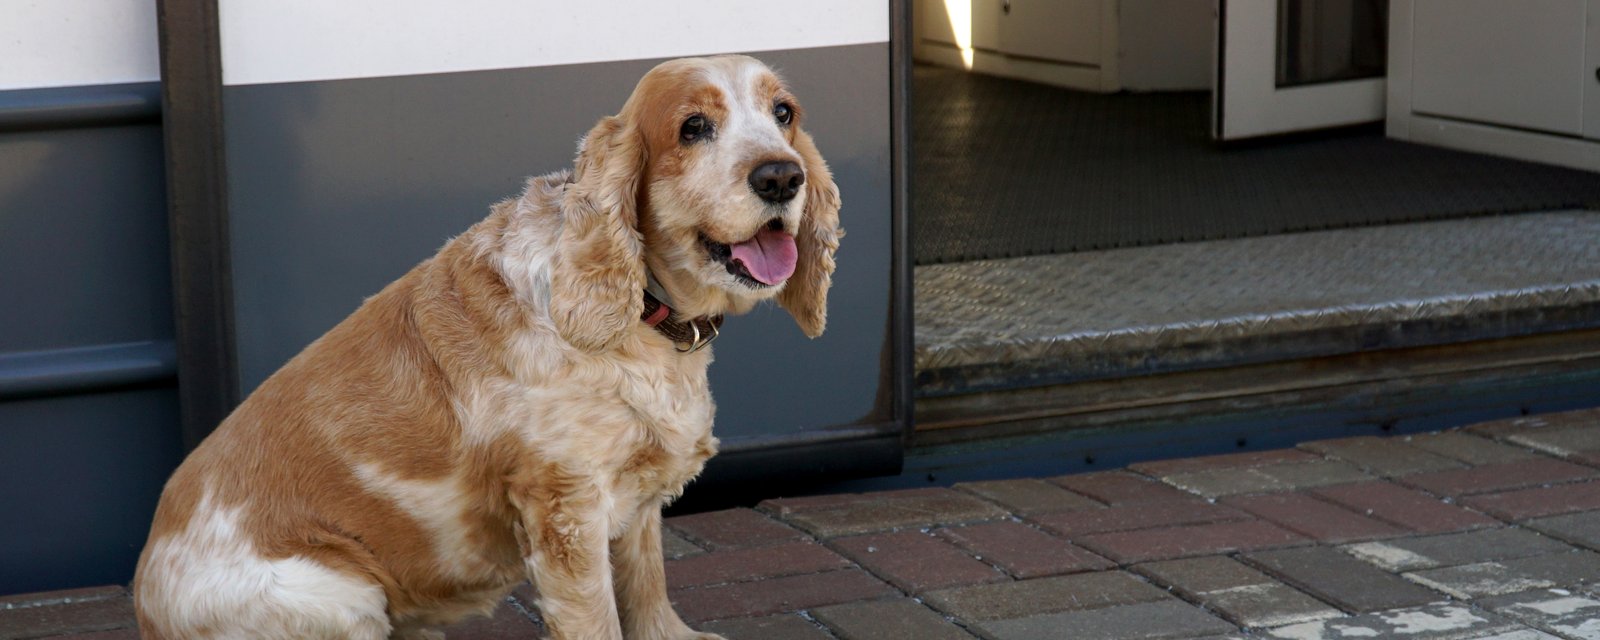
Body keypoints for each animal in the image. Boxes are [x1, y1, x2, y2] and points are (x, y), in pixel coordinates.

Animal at [134, 56, 851, 640]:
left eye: (784, 114)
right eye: (694, 127)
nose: (782, 177)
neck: (642, 317)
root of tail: (144, 602)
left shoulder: (636, 498)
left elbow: (648, 588)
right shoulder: (566, 509)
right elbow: (598, 618)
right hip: (340, 595)